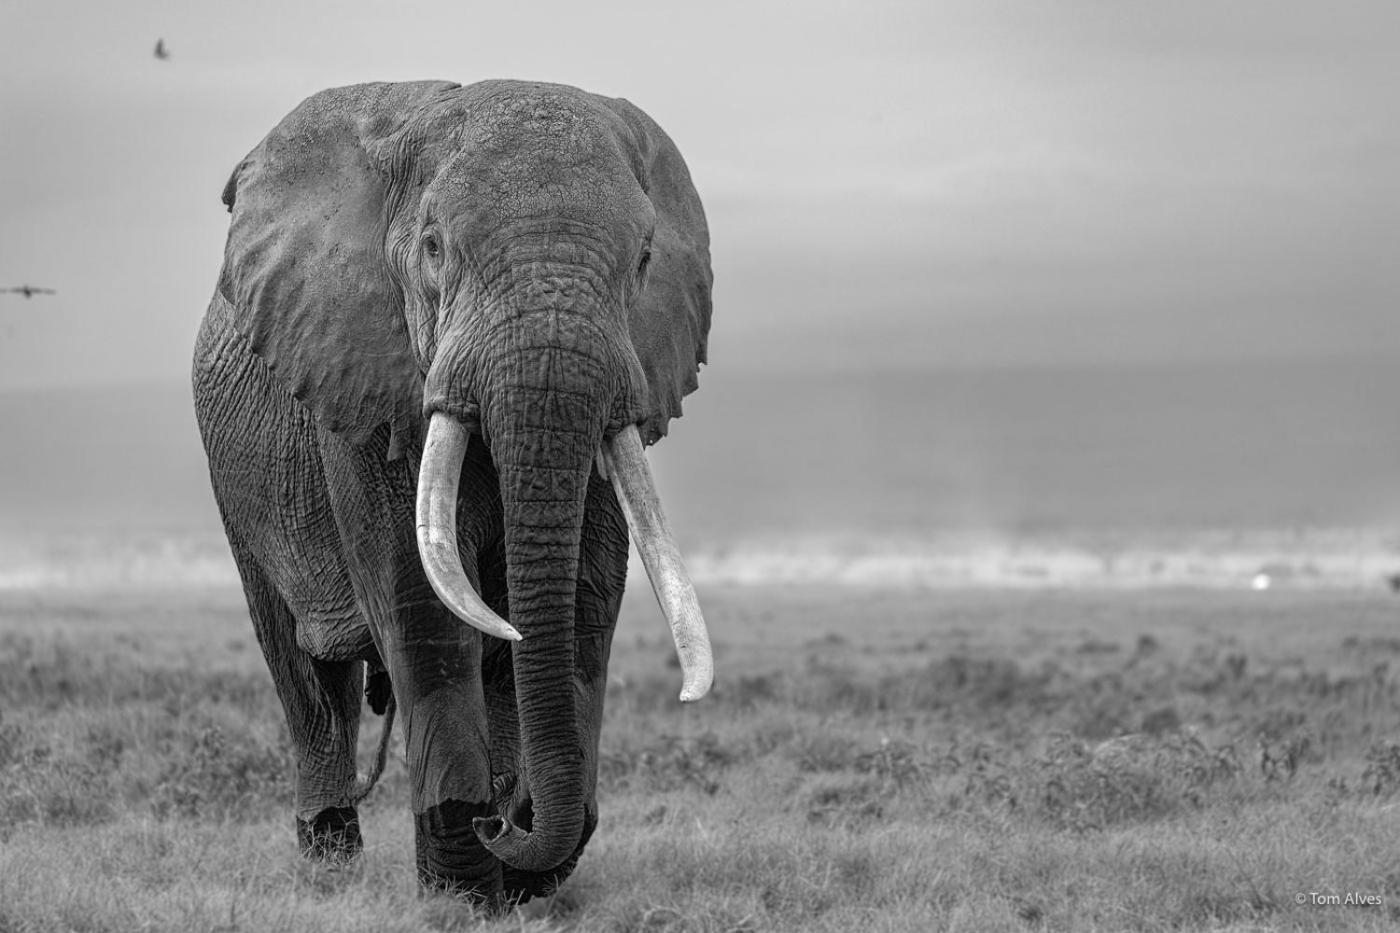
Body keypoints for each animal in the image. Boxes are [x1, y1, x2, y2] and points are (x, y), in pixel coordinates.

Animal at [191, 81, 716, 907]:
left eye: (643, 260)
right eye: (434, 248)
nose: (504, 819)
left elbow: (583, 601)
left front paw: (517, 865)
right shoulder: (370, 390)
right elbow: (423, 609)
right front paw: (462, 887)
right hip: (236, 475)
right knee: (305, 670)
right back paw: (329, 862)